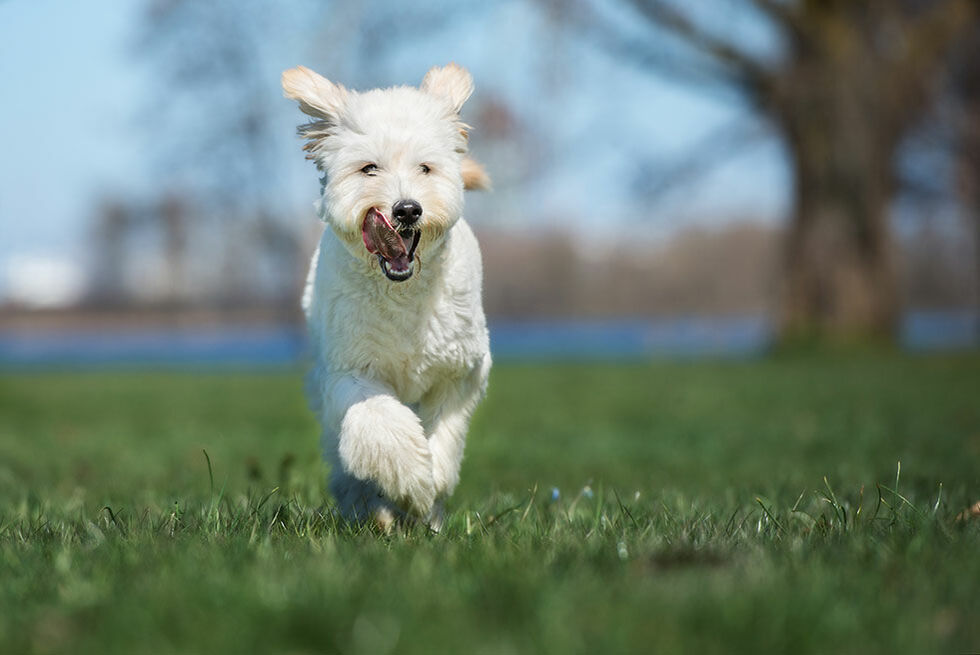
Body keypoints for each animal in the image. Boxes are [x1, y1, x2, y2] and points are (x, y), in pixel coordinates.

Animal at [284, 64, 494, 532]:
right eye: (369, 168)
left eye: (425, 168)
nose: (407, 209)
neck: (403, 294)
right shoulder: (349, 370)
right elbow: (380, 423)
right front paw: (411, 483)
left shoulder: (462, 370)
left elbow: (445, 430)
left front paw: (431, 488)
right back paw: (371, 510)